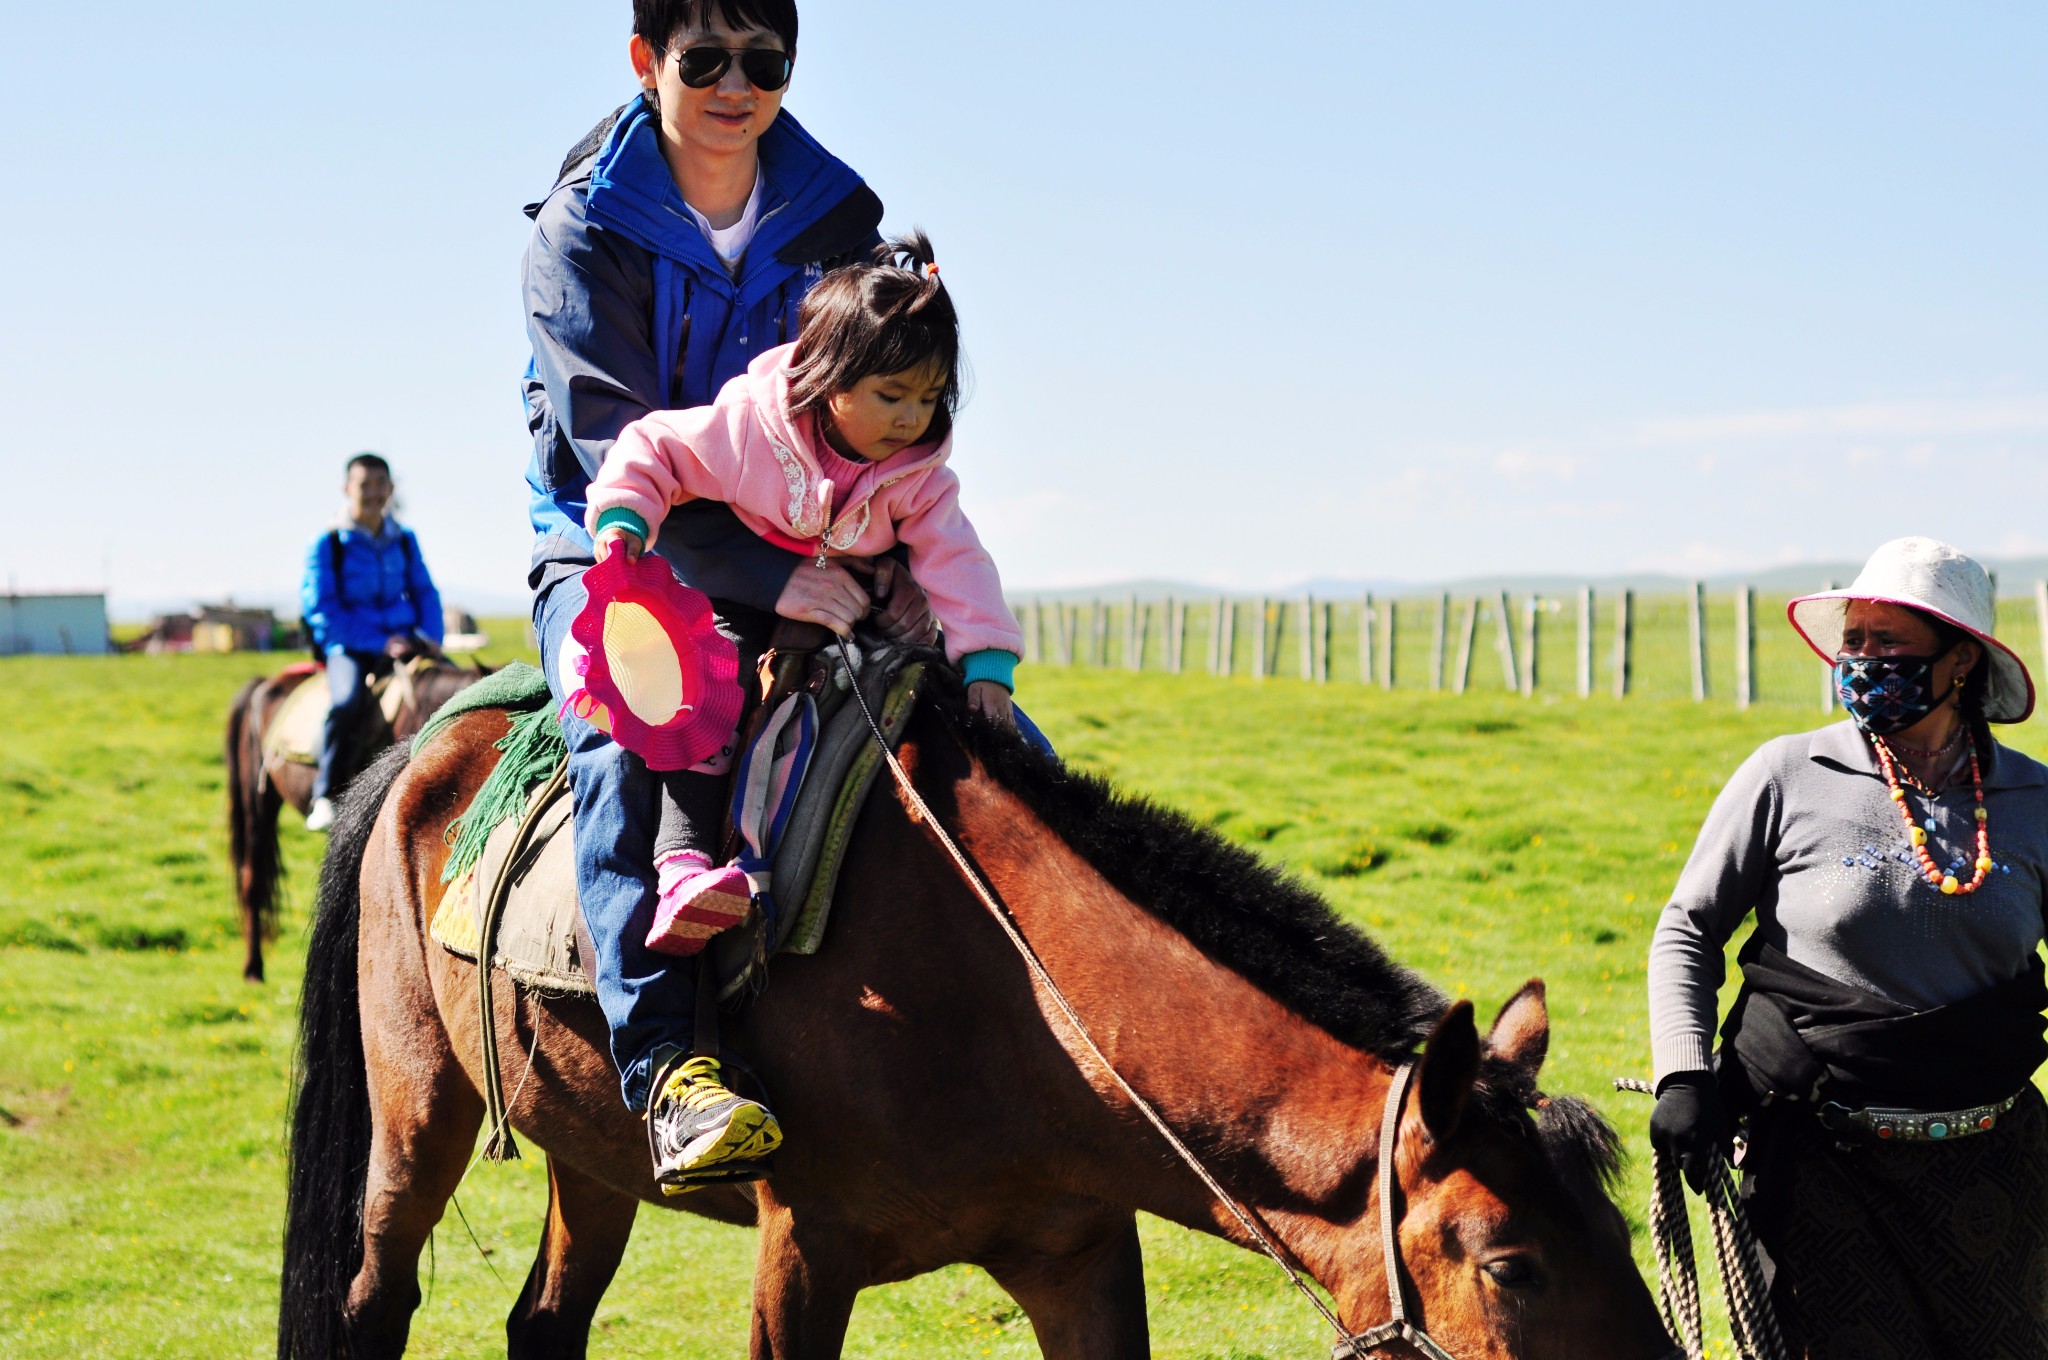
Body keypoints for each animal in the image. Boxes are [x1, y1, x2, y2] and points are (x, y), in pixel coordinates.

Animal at [276, 680, 1679, 1360]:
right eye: (1510, 1265)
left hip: (591, 1150)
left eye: (1619, 1234)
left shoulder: (1078, 1255)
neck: (1016, 1008)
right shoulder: (801, 1254)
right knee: (372, 1298)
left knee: (544, 1323)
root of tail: (418, 757)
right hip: (416, 1119)